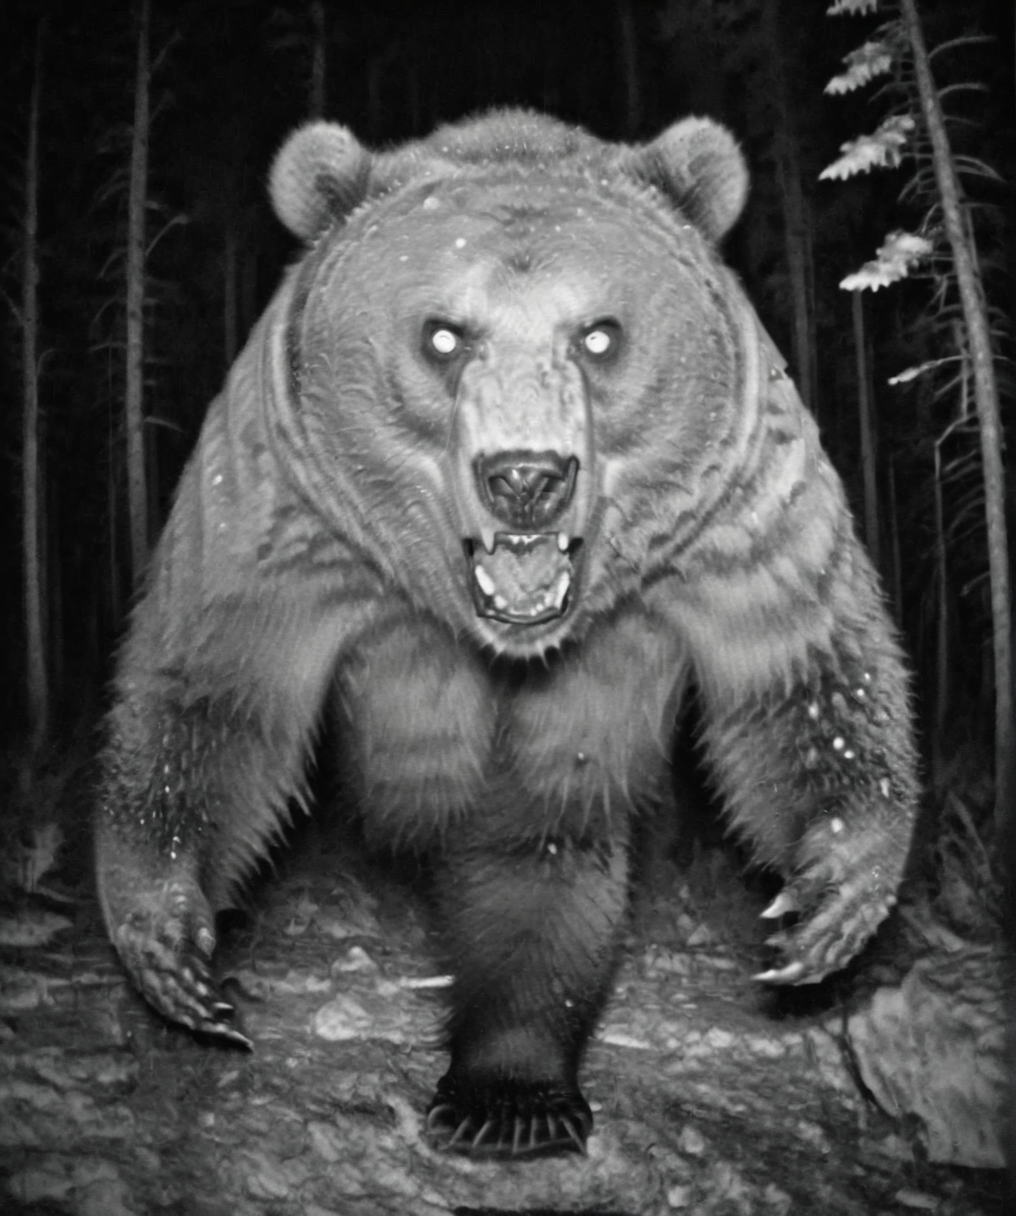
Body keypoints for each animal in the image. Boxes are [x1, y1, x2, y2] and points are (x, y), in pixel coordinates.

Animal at [94, 109, 919, 1160]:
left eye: (599, 334)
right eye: (443, 334)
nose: (526, 477)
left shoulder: (737, 514)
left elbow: (802, 674)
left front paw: (824, 903)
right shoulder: (281, 521)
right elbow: (213, 699)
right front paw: (177, 954)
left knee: (541, 855)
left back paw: (512, 1094)